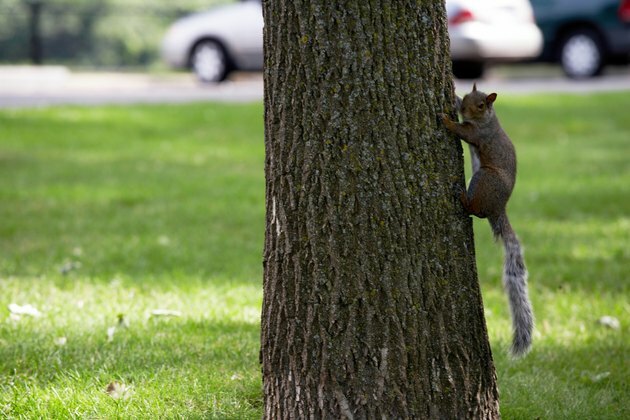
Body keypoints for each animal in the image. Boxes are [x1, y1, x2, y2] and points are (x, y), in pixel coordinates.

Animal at [440, 84, 540, 358]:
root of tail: (499, 209)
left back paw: (462, 197)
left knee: (475, 210)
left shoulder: (479, 134)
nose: (463, 109)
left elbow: (464, 132)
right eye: (467, 97)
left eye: (482, 104)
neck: (488, 119)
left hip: (483, 179)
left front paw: (447, 121)